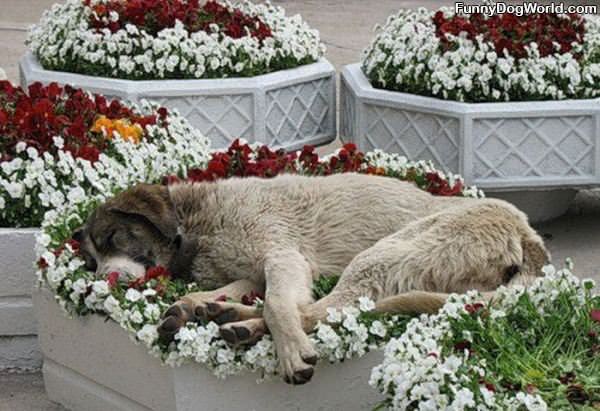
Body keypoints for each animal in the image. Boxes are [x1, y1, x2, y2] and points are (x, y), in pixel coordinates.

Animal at [75, 174, 548, 386]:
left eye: (114, 237)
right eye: (90, 260)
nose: (103, 279)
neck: (196, 225)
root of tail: (528, 235)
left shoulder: (283, 256)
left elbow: (279, 305)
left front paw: (289, 352)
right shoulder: (253, 269)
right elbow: (239, 289)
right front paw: (198, 301)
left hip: (385, 254)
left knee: (324, 310)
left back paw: (246, 327)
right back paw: (221, 314)